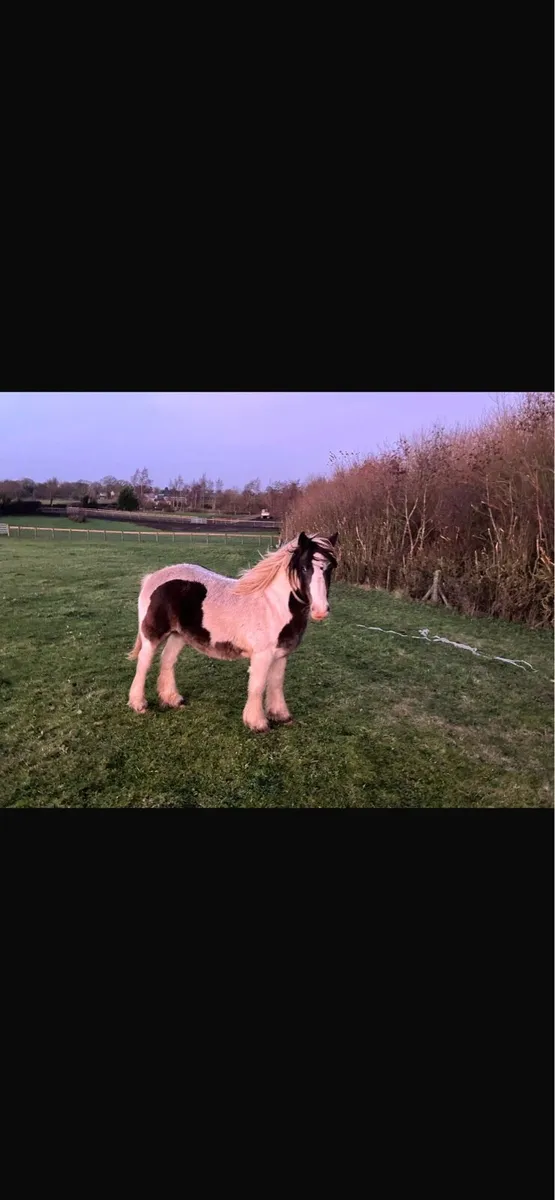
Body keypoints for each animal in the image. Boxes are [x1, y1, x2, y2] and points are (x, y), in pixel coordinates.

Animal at [127, 531, 338, 731]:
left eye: (330, 567)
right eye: (304, 568)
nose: (320, 610)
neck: (272, 606)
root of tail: (152, 578)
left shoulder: (281, 654)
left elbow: (276, 683)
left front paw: (281, 716)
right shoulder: (262, 655)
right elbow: (257, 686)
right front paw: (257, 723)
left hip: (179, 635)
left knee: (168, 660)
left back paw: (172, 699)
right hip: (152, 635)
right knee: (144, 663)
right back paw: (138, 704)